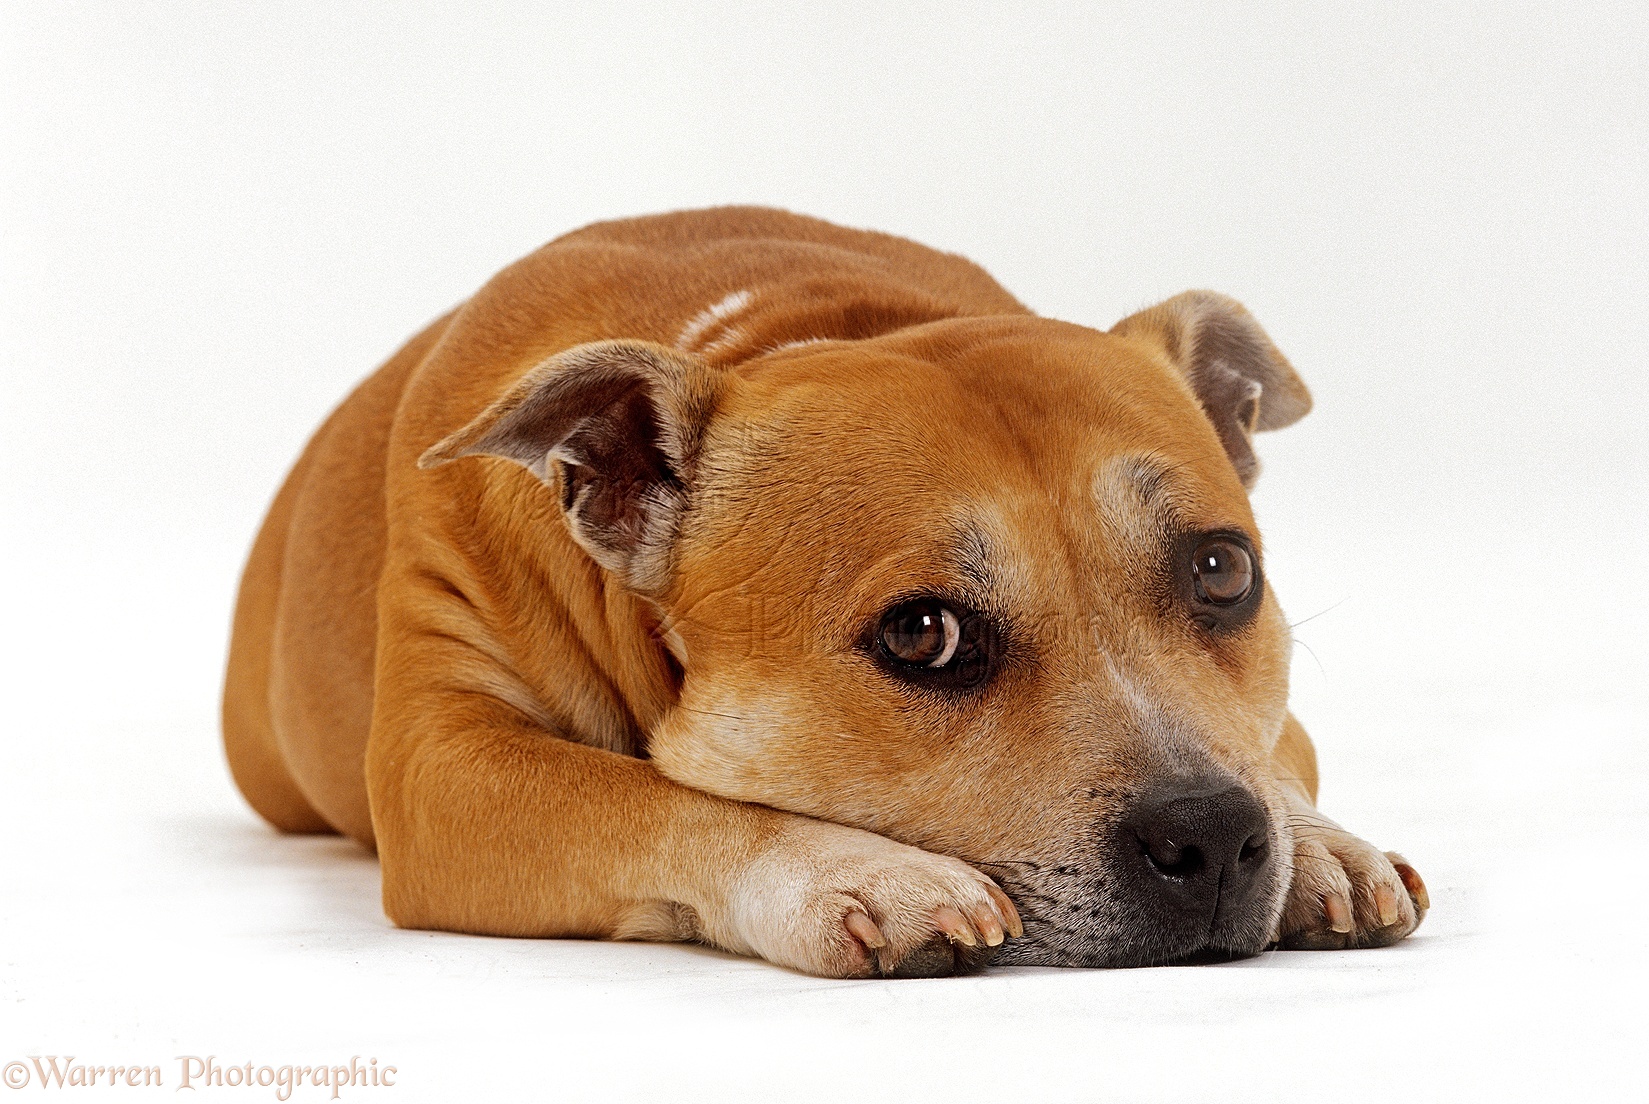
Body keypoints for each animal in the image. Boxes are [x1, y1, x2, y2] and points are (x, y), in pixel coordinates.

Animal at [222, 206, 1431, 970]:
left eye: (1221, 571)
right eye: (923, 634)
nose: (1212, 839)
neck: (789, 334)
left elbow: (1270, 751)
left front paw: (1321, 844)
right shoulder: (444, 771)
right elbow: (644, 799)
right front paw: (854, 871)